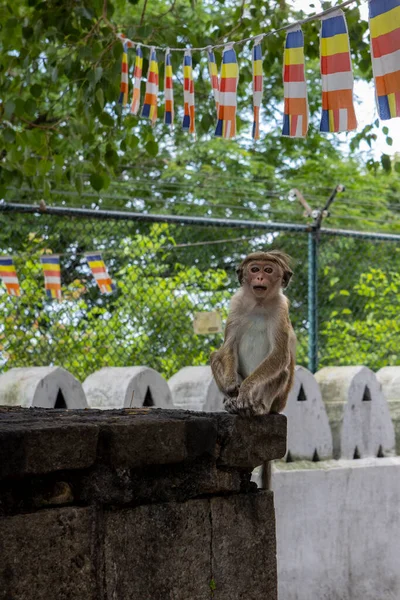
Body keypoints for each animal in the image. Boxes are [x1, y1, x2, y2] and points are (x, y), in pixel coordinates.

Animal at [211, 248, 296, 418]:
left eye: (268, 270)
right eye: (255, 269)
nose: (260, 277)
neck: (259, 303)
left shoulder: (281, 308)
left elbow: (280, 354)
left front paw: (246, 388)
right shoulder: (236, 303)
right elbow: (228, 346)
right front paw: (230, 383)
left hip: (278, 402)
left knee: (282, 371)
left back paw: (260, 407)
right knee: (215, 356)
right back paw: (231, 402)